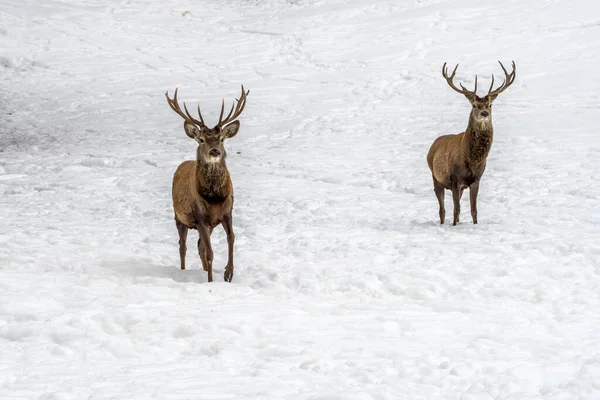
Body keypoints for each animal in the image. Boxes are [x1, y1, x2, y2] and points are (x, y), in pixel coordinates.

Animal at [164, 86, 248, 282]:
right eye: (202, 140)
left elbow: (231, 238)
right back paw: (183, 271)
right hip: (179, 217)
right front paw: (210, 281)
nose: (215, 151)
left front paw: (228, 273)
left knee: (199, 246)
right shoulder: (200, 215)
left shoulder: (227, 211)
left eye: (221, 138)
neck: (215, 197)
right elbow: (210, 253)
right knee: (183, 246)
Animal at [426, 61, 516, 227]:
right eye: (474, 105)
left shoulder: (476, 179)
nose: (484, 113)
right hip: (435, 177)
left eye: (490, 105)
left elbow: (474, 210)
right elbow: (457, 210)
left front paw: (474, 225)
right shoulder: (455, 178)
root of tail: (433, 146)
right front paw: (454, 226)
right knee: (442, 209)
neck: (472, 159)